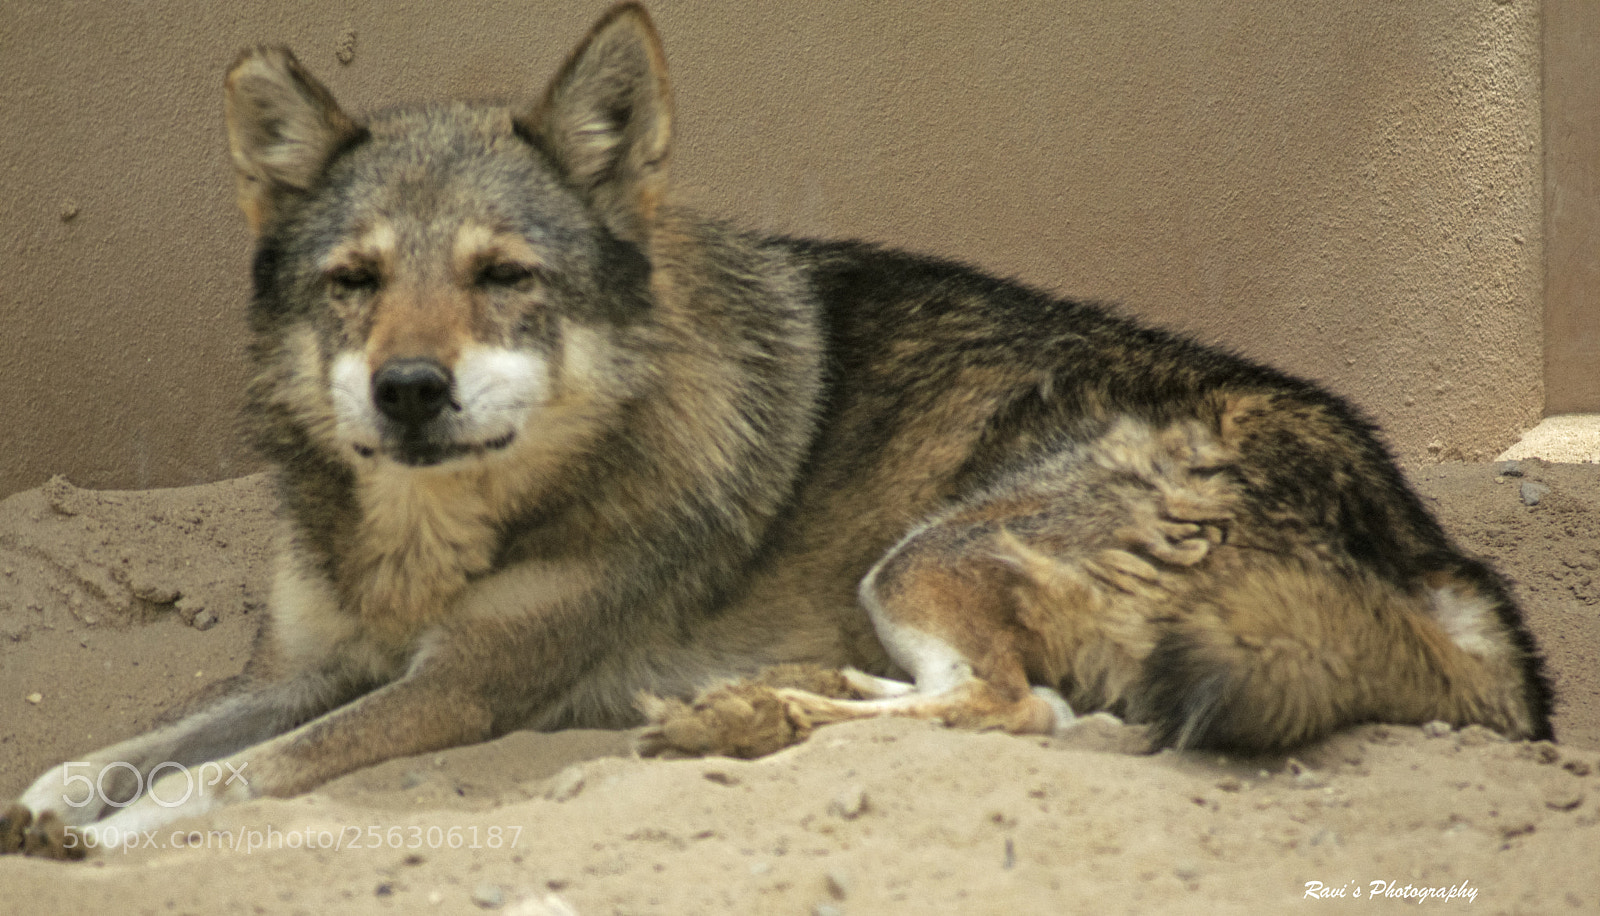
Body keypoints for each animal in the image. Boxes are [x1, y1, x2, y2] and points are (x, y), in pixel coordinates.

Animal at [3, 3, 1551, 858]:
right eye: (355, 283)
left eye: (504, 277)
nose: (410, 391)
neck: (432, 538)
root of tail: (1438, 554)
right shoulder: (316, 662)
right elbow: (139, 737)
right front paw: (52, 798)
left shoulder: (458, 690)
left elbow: (230, 775)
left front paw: (117, 837)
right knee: (990, 703)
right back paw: (762, 699)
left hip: (923, 552)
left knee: (1018, 710)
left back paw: (748, 711)